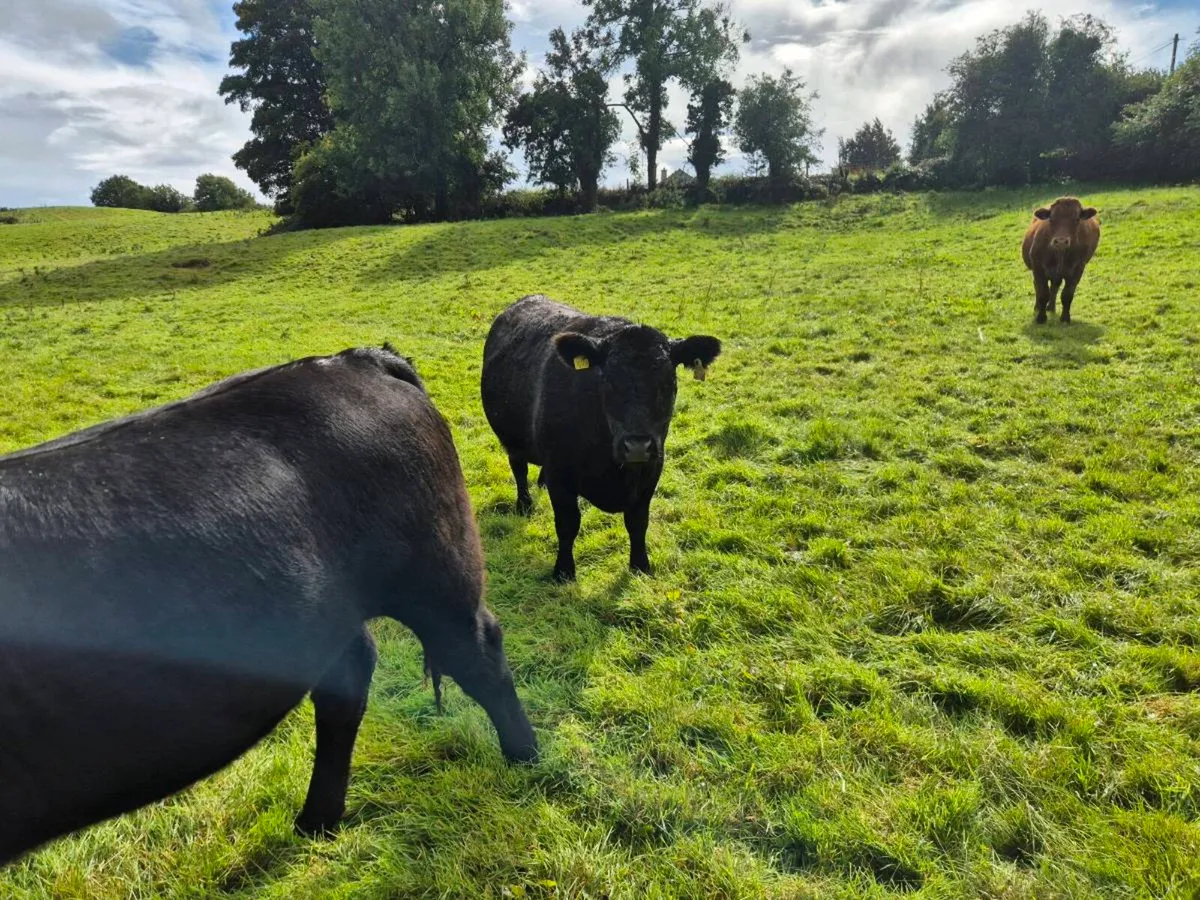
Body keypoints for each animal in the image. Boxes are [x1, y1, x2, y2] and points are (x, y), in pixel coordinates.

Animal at [0, 345, 536, 866]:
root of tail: (354, 358)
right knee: (349, 679)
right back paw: (318, 819)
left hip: (436, 577)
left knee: (478, 653)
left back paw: (526, 757)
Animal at [480, 294, 721, 582]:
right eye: (608, 380)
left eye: (668, 382)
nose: (637, 446)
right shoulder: (561, 472)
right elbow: (568, 523)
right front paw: (564, 571)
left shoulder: (652, 468)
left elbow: (638, 522)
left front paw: (640, 566)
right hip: (512, 439)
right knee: (519, 469)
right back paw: (524, 505)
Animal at [1021, 196, 1101, 324]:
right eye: (1051, 218)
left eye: (1077, 219)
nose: (1061, 241)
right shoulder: (1038, 267)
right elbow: (1043, 293)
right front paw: (1041, 317)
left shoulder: (1078, 269)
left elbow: (1067, 294)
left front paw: (1065, 318)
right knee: (1039, 287)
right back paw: (1038, 307)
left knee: (1055, 287)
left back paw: (1051, 307)